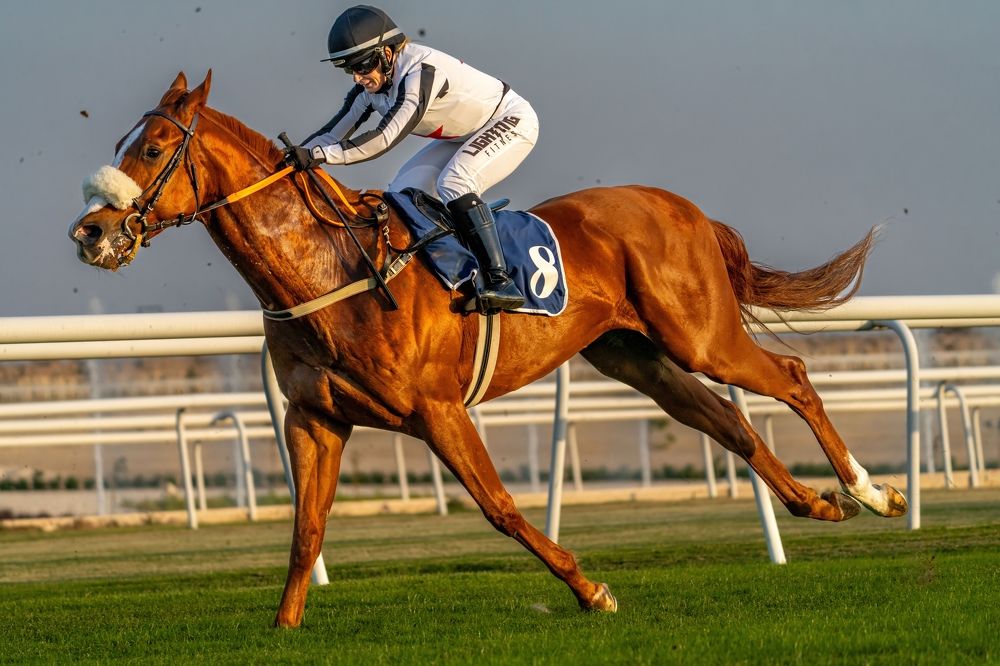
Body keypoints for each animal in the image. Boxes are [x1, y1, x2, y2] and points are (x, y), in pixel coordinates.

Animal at [69, 71, 907, 628]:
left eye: (152, 148)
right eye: (119, 143)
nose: (90, 232)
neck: (332, 270)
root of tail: (685, 208)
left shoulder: (438, 410)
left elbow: (499, 507)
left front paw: (590, 590)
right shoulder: (315, 419)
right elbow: (306, 530)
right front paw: (283, 626)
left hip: (700, 335)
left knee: (791, 377)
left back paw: (871, 491)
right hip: (638, 356)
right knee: (727, 422)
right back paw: (816, 504)